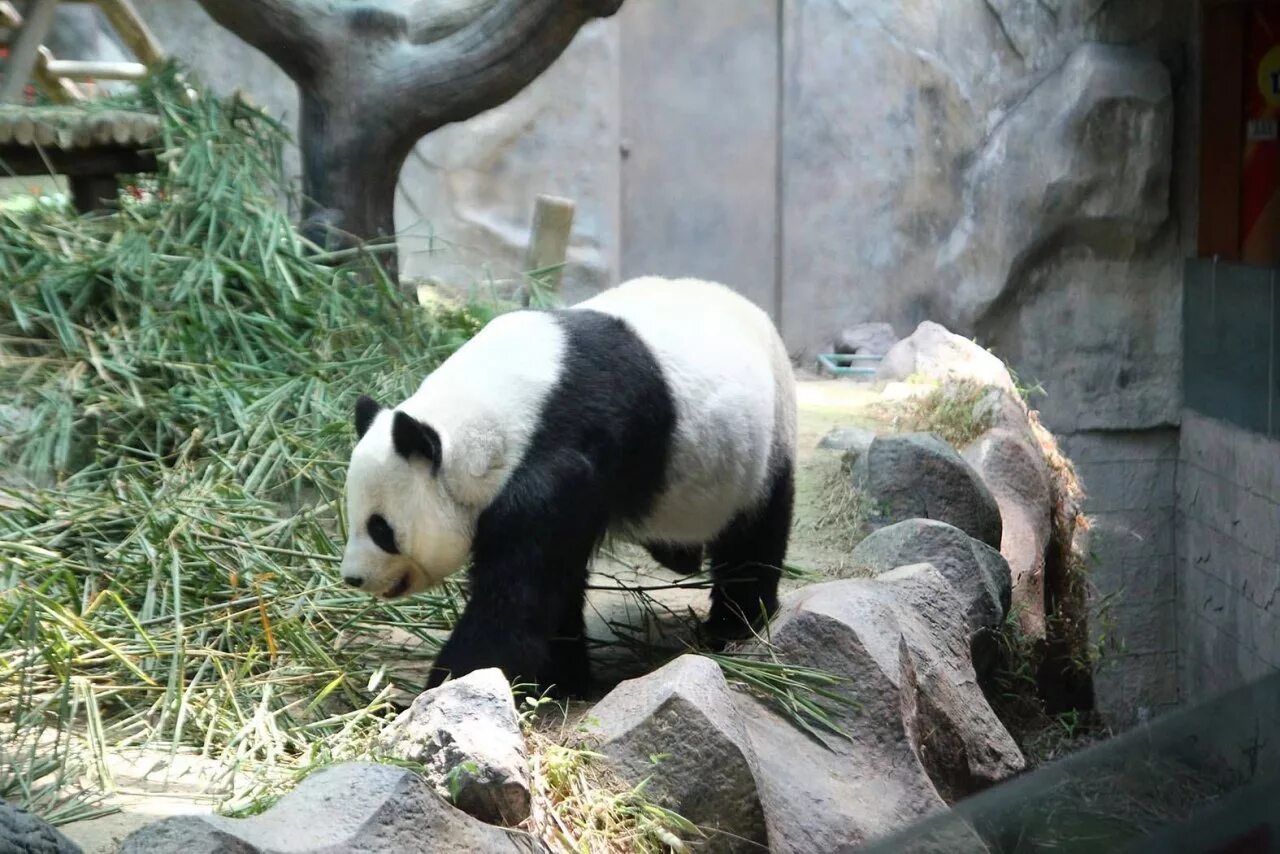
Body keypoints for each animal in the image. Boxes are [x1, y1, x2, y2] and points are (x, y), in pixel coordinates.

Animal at [345, 277, 793, 696]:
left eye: (381, 529)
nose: (353, 578)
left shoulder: (559, 460)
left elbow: (519, 596)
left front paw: (448, 685)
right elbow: (556, 586)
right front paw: (561, 680)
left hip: (763, 444)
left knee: (754, 537)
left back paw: (736, 624)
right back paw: (679, 557)